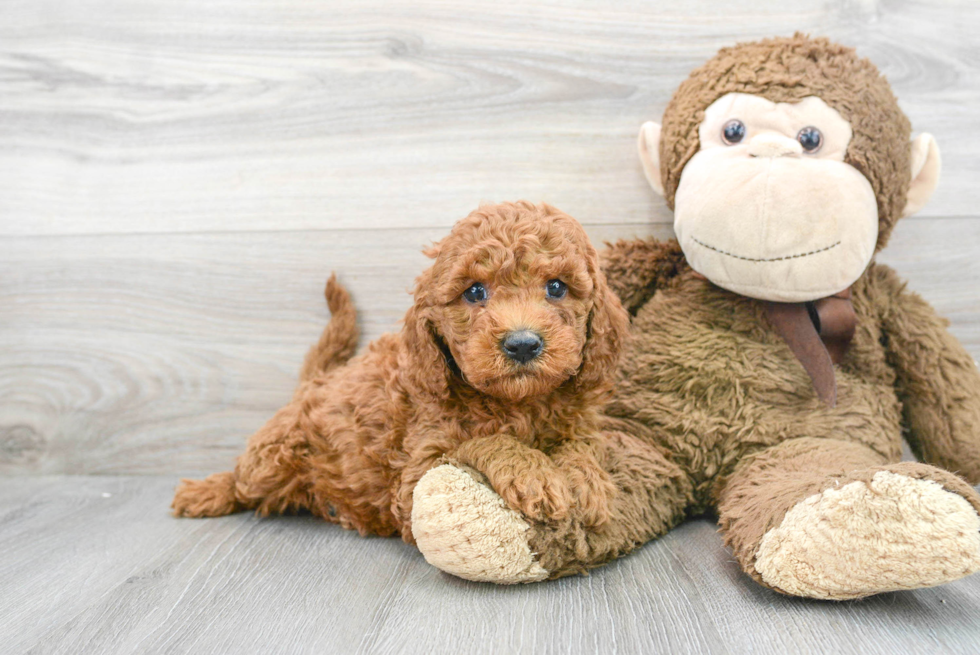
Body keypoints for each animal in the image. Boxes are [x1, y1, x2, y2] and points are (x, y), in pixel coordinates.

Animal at [172, 201, 632, 544]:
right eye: (474, 292)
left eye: (556, 287)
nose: (521, 344)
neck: (518, 403)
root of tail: (315, 382)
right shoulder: (416, 477)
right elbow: (485, 441)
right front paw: (534, 473)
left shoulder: (580, 421)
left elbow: (583, 444)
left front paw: (587, 481)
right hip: (272, 456)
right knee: (242, 479)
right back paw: (204, 492)